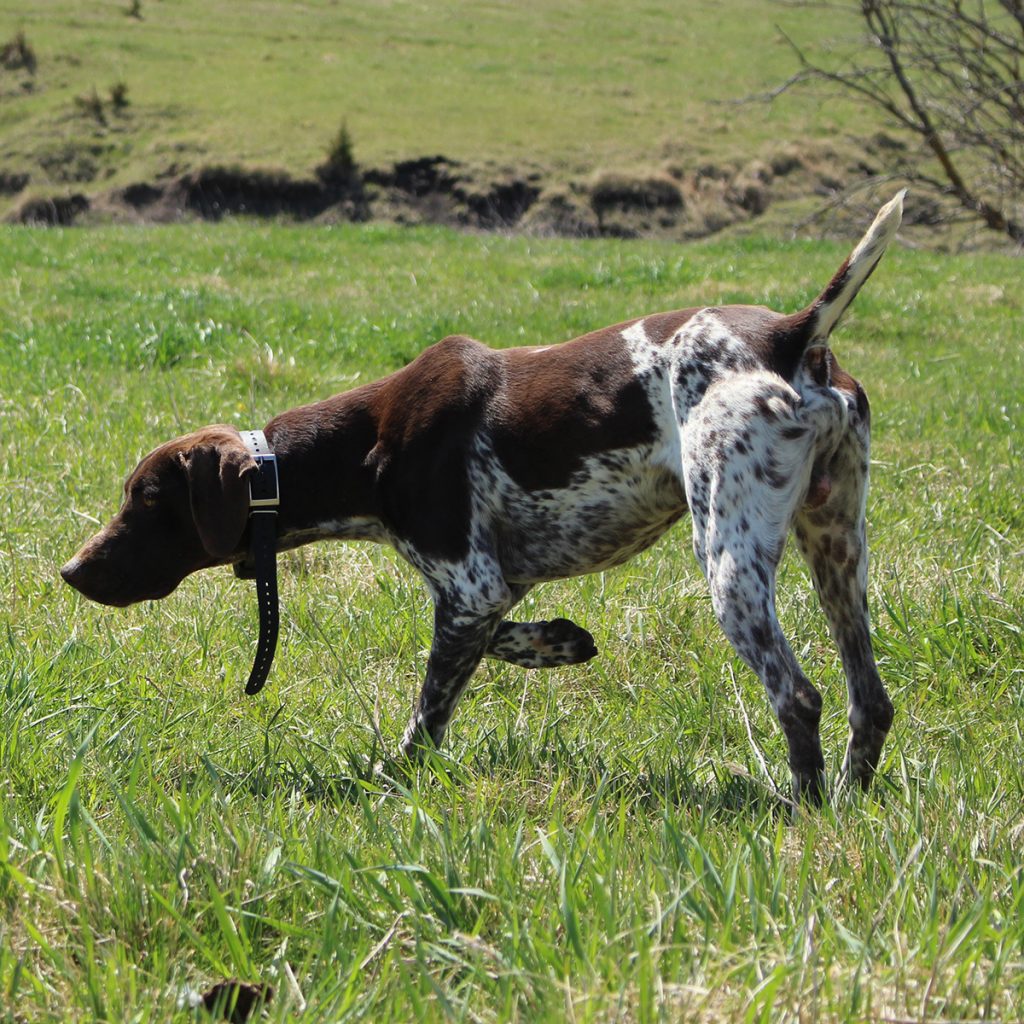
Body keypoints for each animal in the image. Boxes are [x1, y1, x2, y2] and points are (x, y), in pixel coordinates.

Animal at [61, 192, 905, 798]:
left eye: (144, 500)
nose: (70, 571)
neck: (363, 445)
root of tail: (791, 335)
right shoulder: (492, 586)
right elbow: (498, 638)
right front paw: (561, 641)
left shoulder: (470, 587)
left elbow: (427, 713)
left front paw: (394, 783)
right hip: (837, 551)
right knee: (870, 700)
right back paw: (849, 802)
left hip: (730, 561)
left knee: (799, 697)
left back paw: (802, 811)